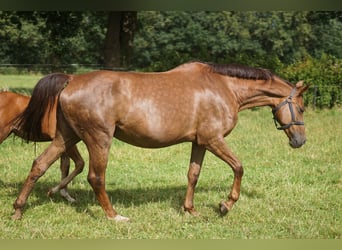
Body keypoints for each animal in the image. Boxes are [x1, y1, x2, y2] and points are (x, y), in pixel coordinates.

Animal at [12, 62, 310, 221]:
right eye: (302, 107)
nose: (300, 141)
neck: (223, 87)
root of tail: (72, 79)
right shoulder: (213, 140)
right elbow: (239, 167)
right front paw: (225, 205)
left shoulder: (200, 142)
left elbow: (193, 174)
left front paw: (190, 210)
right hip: (99, 139)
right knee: (96, 177)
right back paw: (114, 216)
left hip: (66, 137)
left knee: (39, 166)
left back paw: (18, 210)